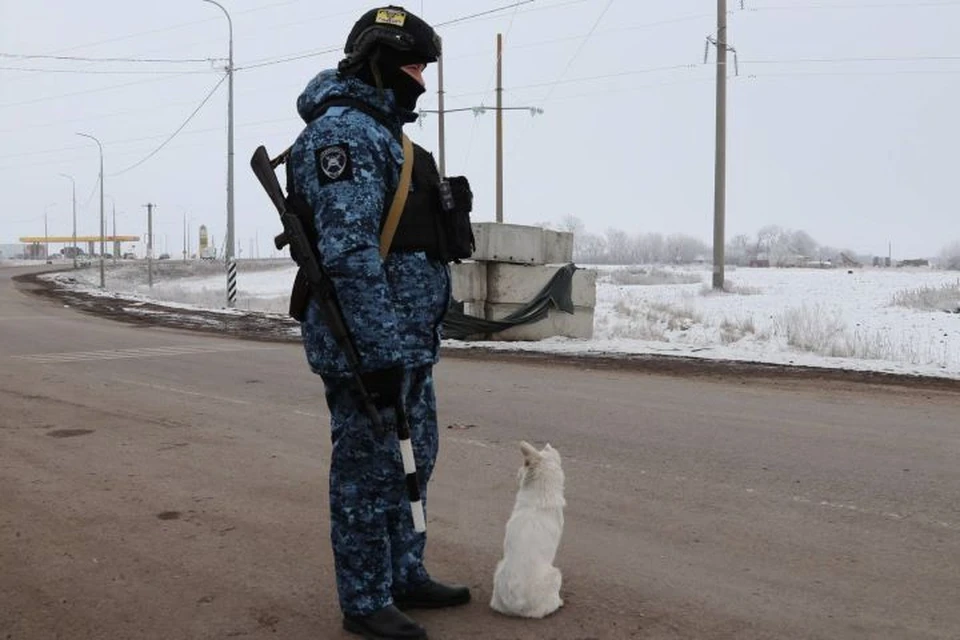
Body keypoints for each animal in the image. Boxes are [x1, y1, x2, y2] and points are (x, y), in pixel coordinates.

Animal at [492, 442, 568, 616]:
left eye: (524, 464)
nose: (517, 472)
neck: (541, 493)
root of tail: (516, 605)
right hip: (555, 574)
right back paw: (559, 602)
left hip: (498, 570)